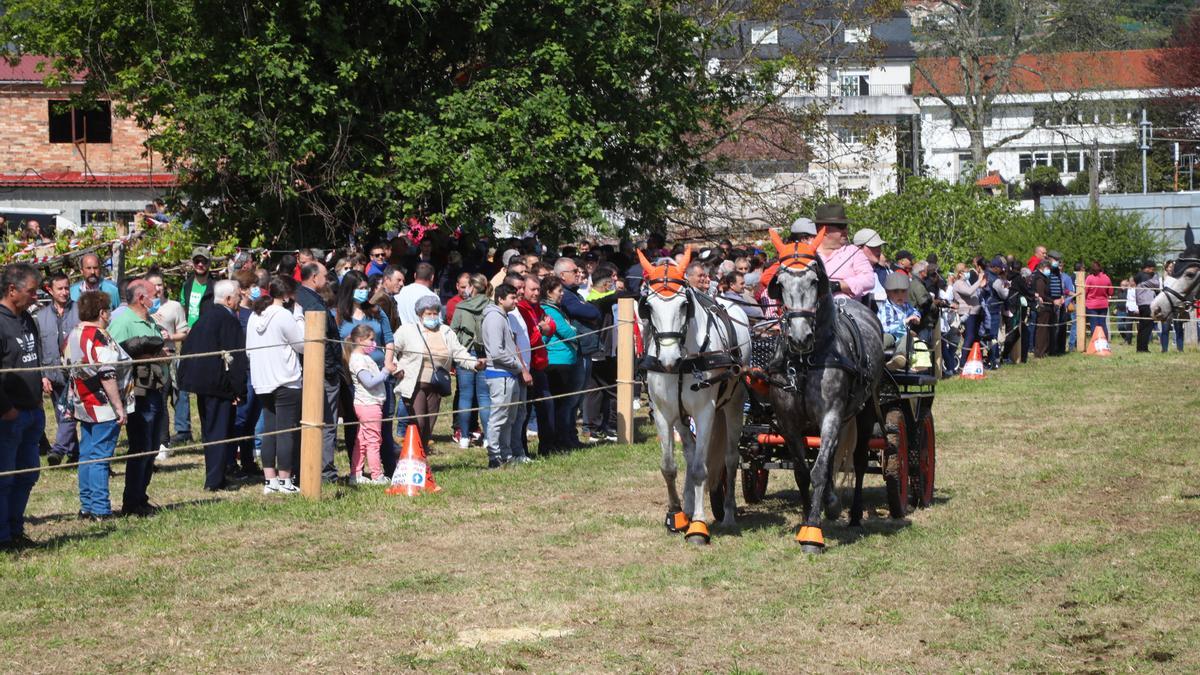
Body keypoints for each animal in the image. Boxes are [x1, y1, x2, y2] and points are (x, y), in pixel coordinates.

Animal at [638, 247, 748, 547]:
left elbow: (701, 468)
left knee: (730, 458)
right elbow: (669, 466)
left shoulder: (705, 411)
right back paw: (687, 507)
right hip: (680, 416)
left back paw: (729, 513)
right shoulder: (663, 412)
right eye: (648, 306)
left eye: (683, 305)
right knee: (689, 452)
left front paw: (698, 527)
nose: (668, 359)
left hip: (733, 405)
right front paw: (676, 515)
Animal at [763, 227, 888, 552]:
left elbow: (818, 470)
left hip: (865, 409)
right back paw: (831, 503)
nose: (800, 337)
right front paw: (810, 513)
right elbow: (802, 471)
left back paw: (853, 514)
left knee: (858, 460)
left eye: (813, 280)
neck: (805, 362)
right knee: (829, 456)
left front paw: (812, 533)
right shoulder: (789, 423)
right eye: (780, 284)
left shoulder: (831, 414)